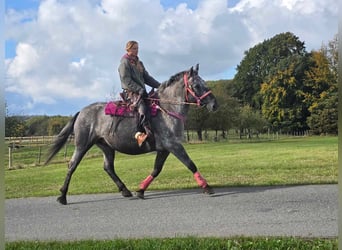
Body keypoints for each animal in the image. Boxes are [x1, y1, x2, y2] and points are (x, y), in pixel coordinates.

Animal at [45, 63, 218, 204]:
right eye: (196, 85)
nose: (214, 104)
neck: (167, 109)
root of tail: (81, 112)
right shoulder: (173, 145)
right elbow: (190, 164)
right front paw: (207, 187)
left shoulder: (164, 149)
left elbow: (156, 169)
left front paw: (140, 190)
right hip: (82, 145)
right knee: (72, 165)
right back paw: (62, 196)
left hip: (107, 147)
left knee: (108, 167)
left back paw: (125, 190)